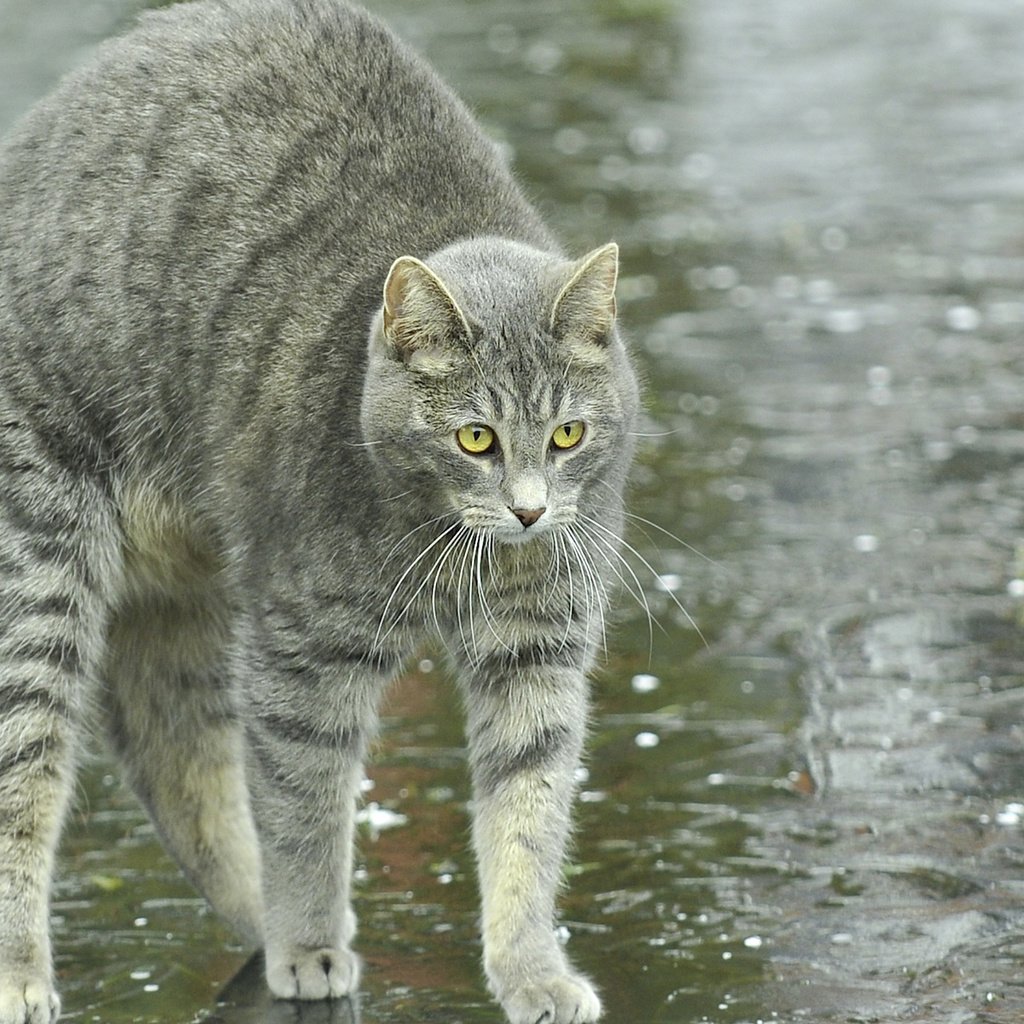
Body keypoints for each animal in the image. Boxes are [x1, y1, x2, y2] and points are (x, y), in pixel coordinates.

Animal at [0, 2, 638, 1024]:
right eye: (474, 439)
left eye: (569, 433)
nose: (531, 515)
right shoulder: (304, 649)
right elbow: (304, 807)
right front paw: (308, 942)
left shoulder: (538, 643)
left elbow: (528, 813)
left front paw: (530, 969)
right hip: (42, 568)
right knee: (33, 771)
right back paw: (34, 969)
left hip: (186, 591)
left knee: (173, 752)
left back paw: (251, 916)